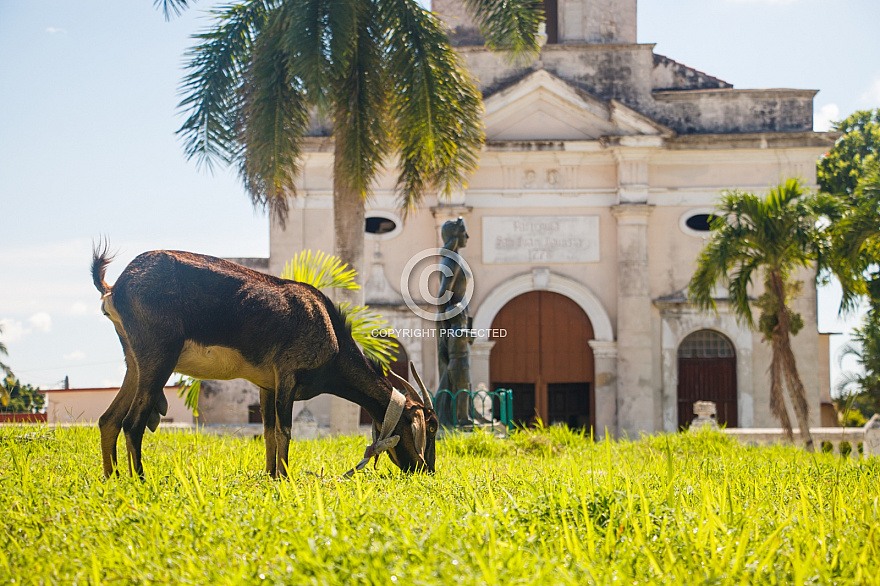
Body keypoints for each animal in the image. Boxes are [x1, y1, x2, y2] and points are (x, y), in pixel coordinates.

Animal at [91, 244, 438, 476]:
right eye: (431, 427)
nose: (427, 469)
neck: (332, 334)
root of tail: (115, 287)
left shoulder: (266, 385)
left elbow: (269, 432)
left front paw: (271, 477)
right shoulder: (287, 374)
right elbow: (285, 430)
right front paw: (285, 479)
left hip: (135, 362)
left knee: (108, 419)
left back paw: (114, 479)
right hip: (159, 356)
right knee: (132, 423)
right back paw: (139, 480)